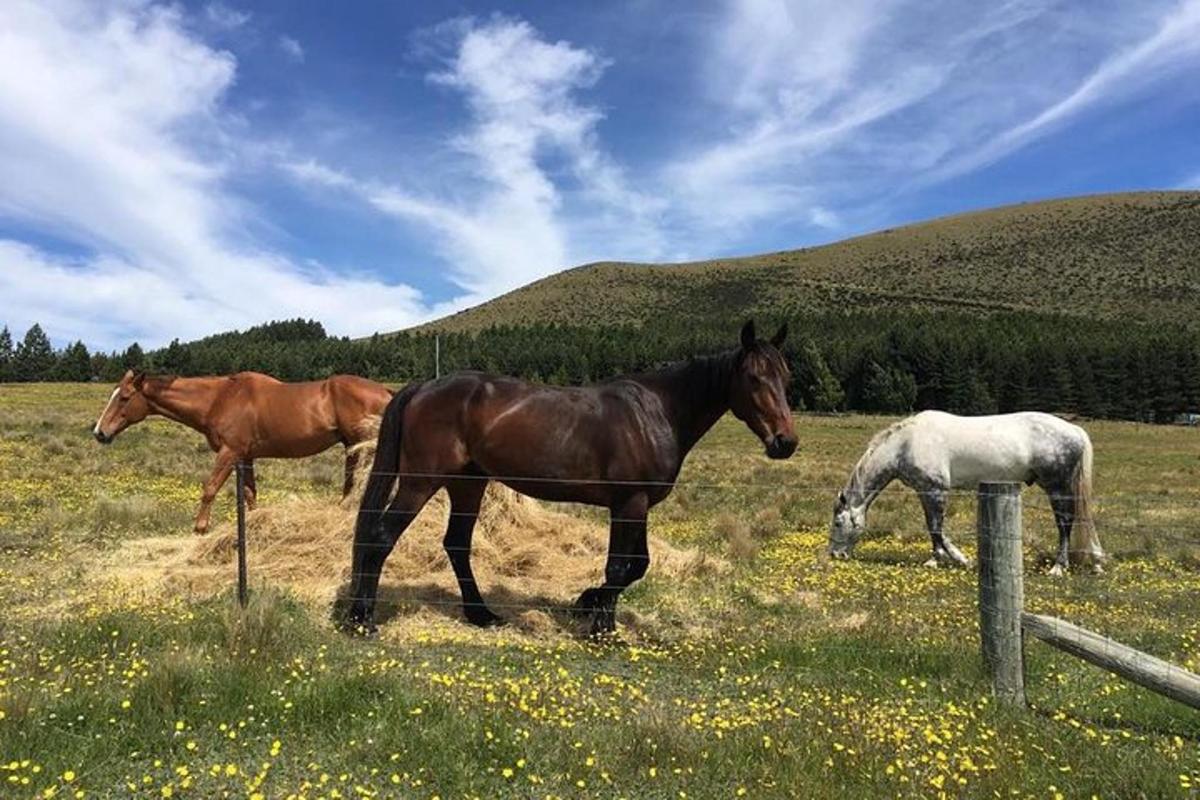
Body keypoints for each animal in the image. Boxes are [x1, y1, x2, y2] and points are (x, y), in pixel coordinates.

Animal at [95, 371, 393, 534]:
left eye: (124, 398)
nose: (100, 432)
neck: (220, 399)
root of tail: (386, 390)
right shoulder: (245, 457)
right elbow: (250, 494)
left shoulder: (229, 453)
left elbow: (210, 489)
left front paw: (200, 528)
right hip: (351, 448)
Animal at [345, 321, 796, 638]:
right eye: (754, 378)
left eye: (787, 378)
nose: (785, 442)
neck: (656, 411)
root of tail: (424, 386)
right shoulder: (629, 503)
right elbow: (620, 567)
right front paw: (601, 627)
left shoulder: (638, 505)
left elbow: (638, 566)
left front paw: (586, 603)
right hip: (420, 481)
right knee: (381, 537)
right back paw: (363, 619)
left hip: (468, 485)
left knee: (456, 544)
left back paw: (481, 615)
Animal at [830, 412, 1099, 575]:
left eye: (837, 523)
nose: (835, 554)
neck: (905, 445)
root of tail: (1075, 430)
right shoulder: (924, 491)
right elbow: (933, 527)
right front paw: (942, 558)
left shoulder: (936, 491)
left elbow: (937, 528)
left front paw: (955, 559)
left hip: (1057, 487)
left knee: (1065, 523)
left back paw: (1058, 567)